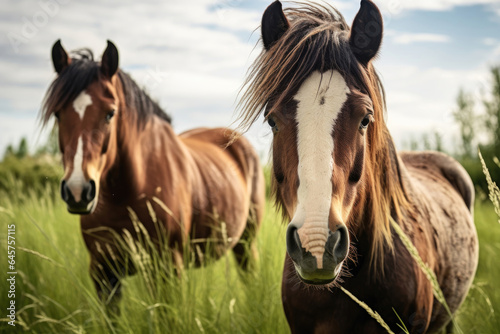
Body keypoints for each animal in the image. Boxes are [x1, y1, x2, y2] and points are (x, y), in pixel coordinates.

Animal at [41, 41, 266, 310]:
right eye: (58, 114)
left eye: (110, 113)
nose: (78, 191)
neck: (125, 194)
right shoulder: (103, 272)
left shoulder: (168, 269)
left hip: (246, 243)